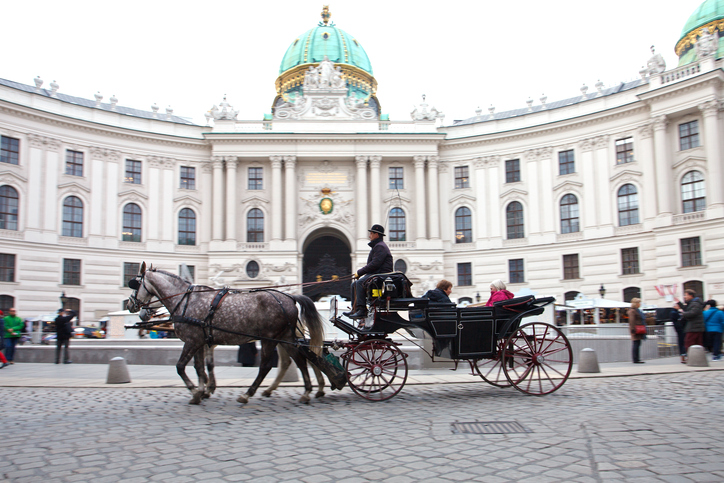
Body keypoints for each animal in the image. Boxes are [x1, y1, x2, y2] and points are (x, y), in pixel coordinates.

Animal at [127, 262, 322, 406]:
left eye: (135, 284)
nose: (130, 305)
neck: (186, 301)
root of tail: (290, 297)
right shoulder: (199, 341)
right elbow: (200, 367)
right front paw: (202, 391)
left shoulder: (191, 341)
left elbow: (181, 367)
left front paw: (196, 391)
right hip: (285, 337)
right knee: (300, 360)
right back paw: (306, 392)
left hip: (270, 339)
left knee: (267, 366)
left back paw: (247, 394)